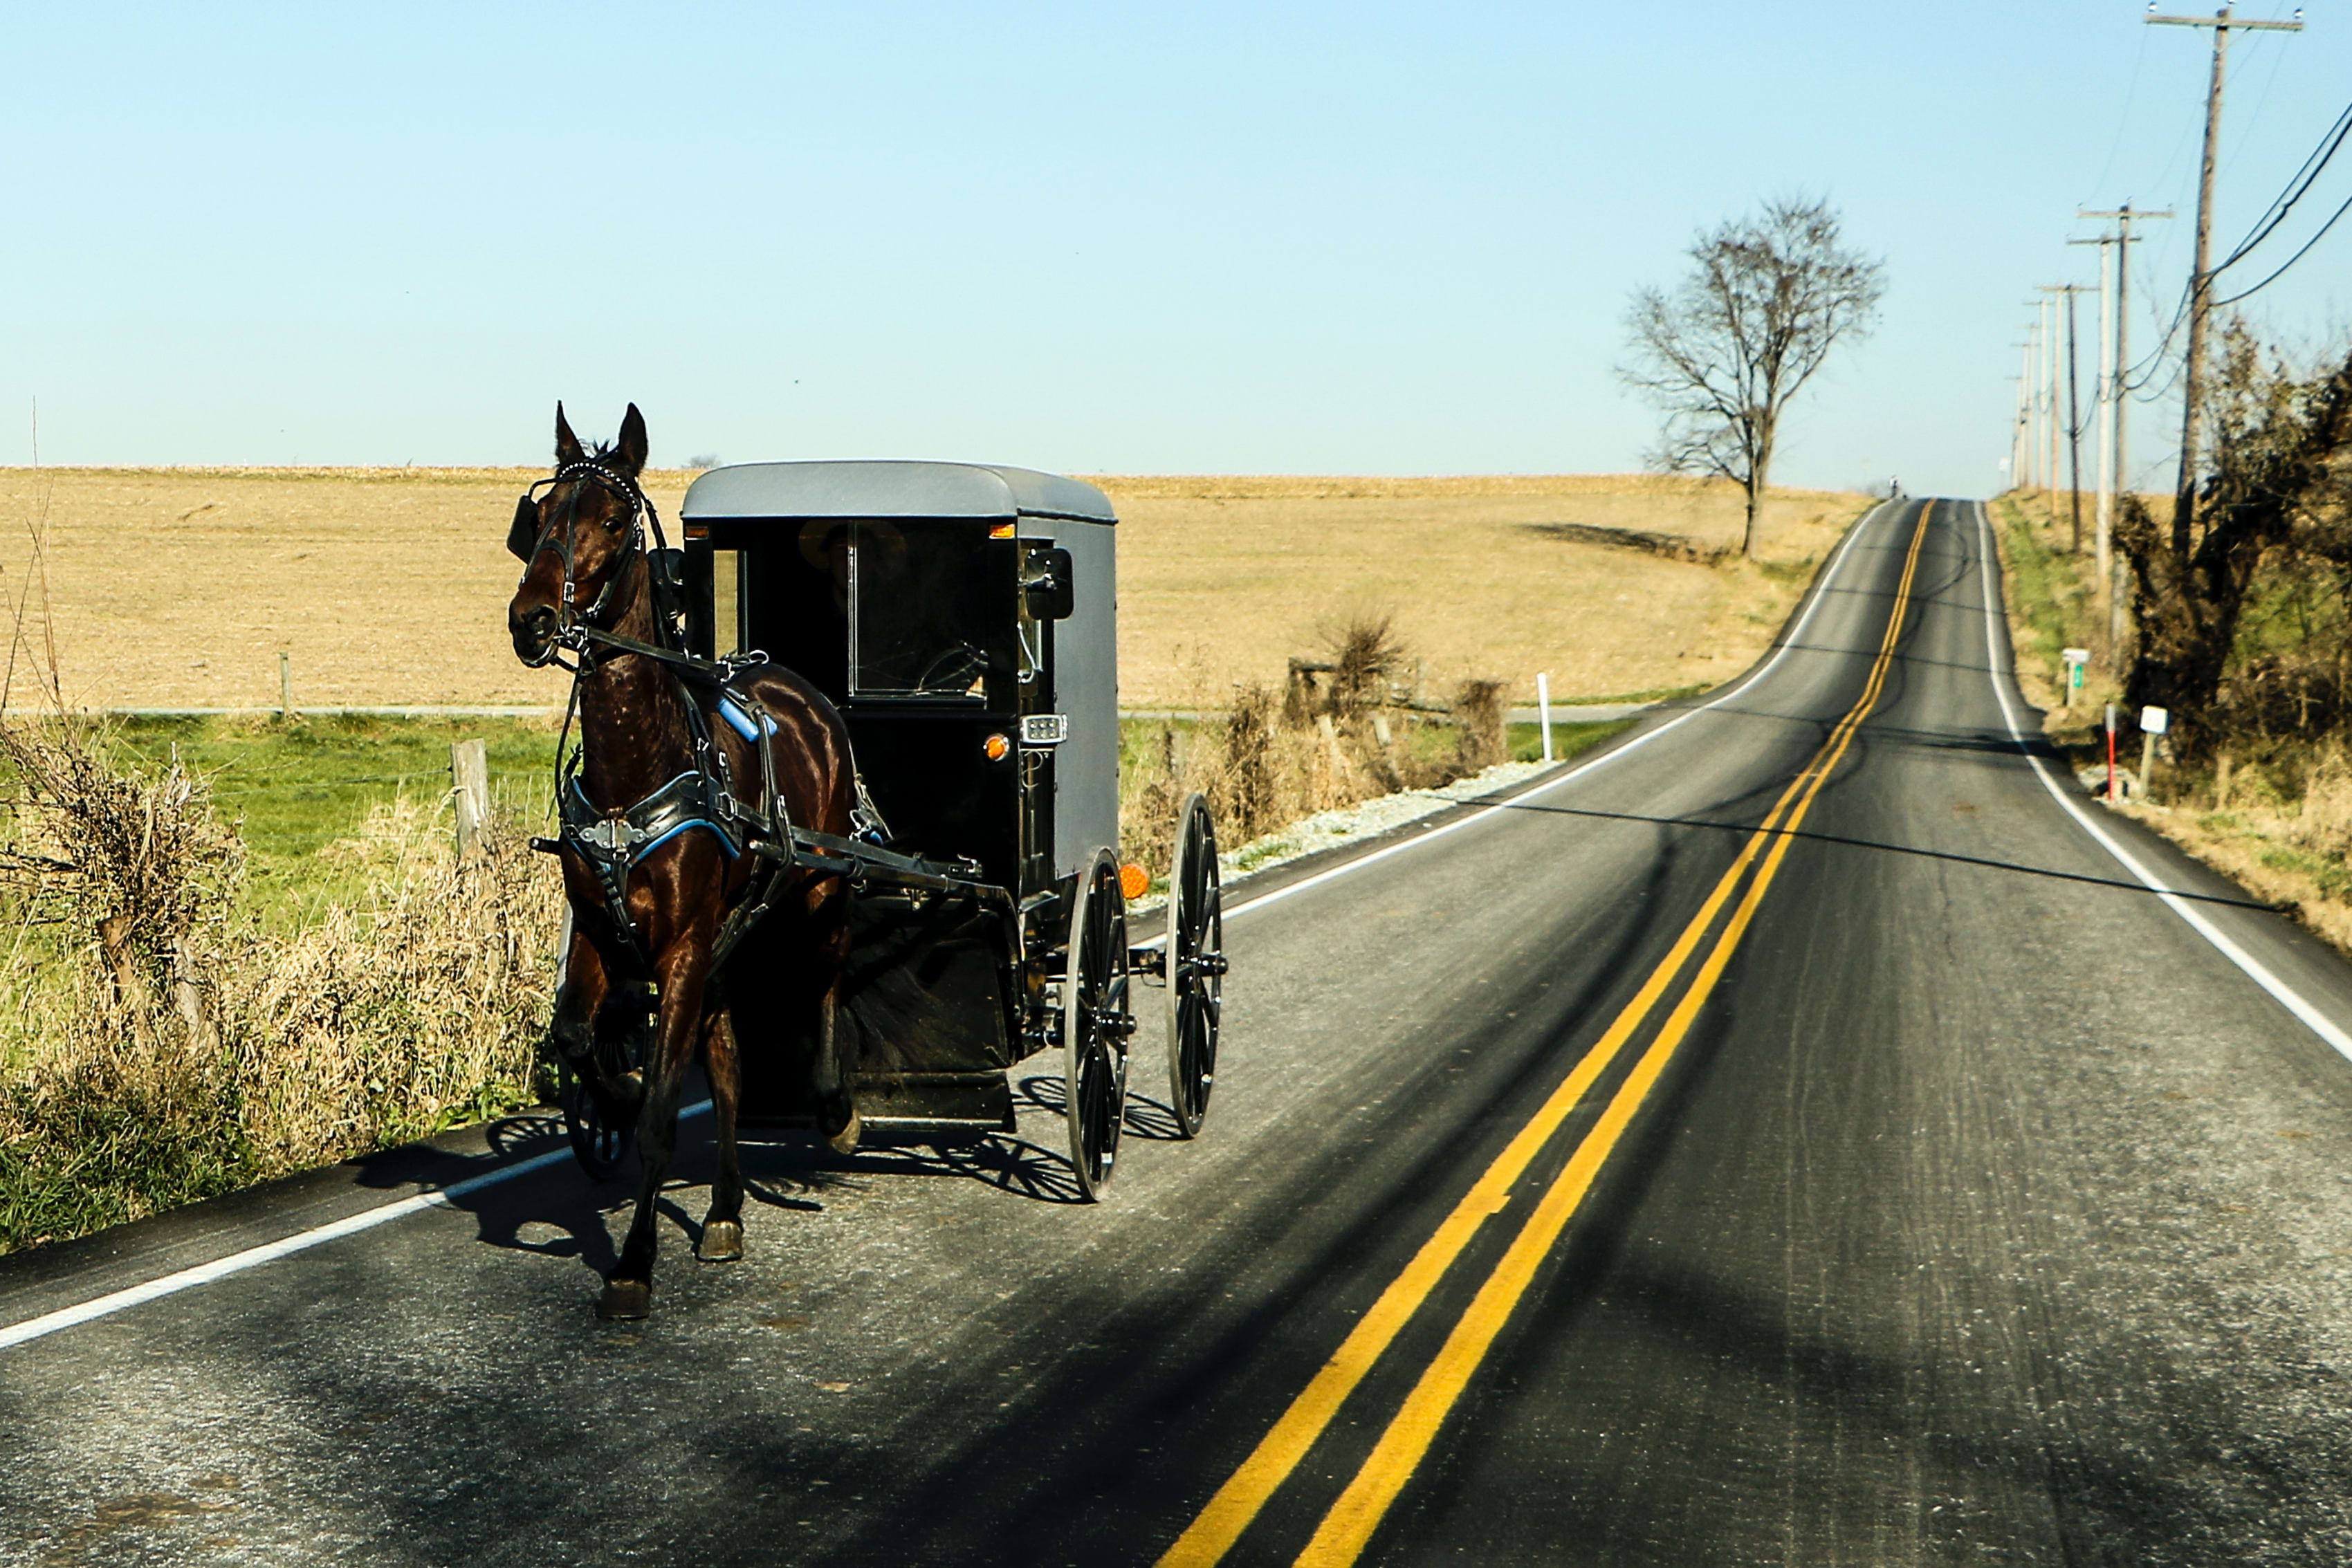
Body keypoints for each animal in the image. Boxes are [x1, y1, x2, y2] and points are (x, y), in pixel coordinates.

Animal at [510, 404, 861, 1325]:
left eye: (611, 520)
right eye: (540, 515)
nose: (530, 618)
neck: (639, 769)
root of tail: (794, 685)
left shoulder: (681, 950)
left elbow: (666, 1113)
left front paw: (633, 1261)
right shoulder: (601, 929)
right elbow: (578, 1036)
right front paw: (615, 1087)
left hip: (819, 885)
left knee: (825, 978)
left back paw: (835, 1108)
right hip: (727, 939)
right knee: (731, 1059)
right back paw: (728, 1207)